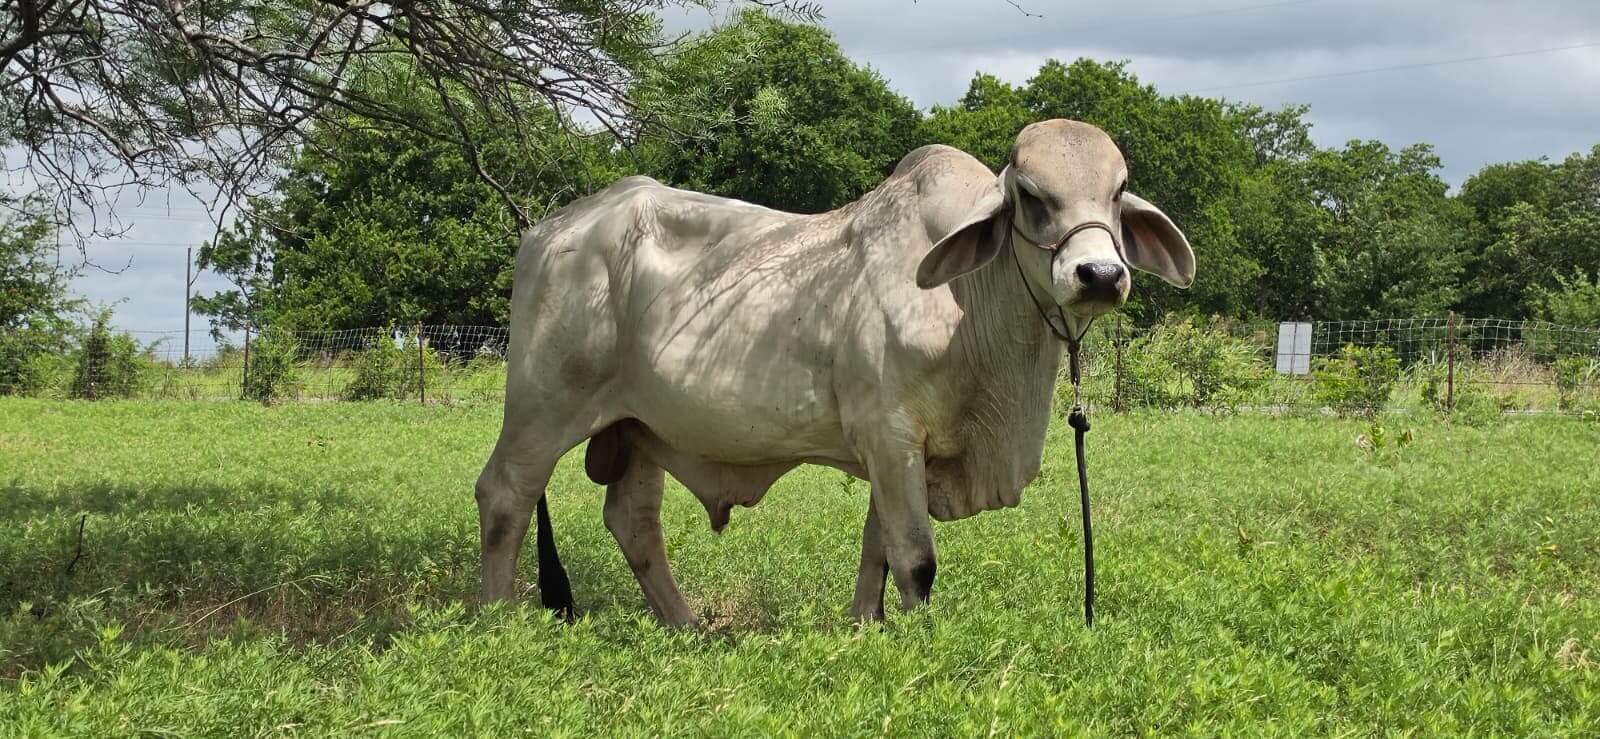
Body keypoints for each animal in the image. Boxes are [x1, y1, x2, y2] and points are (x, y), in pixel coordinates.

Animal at [475, 119, 1194, 625]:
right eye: (1030, 195)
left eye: (1117, 192)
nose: (1099, 274)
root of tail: (548, 229)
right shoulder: (891, 434)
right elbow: (915, 560)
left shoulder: (895, 452)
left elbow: (878, 551)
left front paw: (866, 628)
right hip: (543, 406)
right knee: (505, 495)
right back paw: (496, 619)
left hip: (638, 426)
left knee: (633, 522)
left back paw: (687, 627)